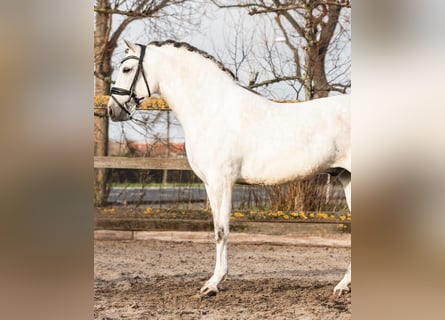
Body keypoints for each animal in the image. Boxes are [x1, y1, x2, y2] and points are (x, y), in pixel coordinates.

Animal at [106, 40, 350, 298]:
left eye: (126, 69)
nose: (112, 110)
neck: (212, 110)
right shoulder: (210, 184)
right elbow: (217, 229)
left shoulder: (221, 182)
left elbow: (221, 231)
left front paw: (212, 284)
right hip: (347, 178)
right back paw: (342, 285)